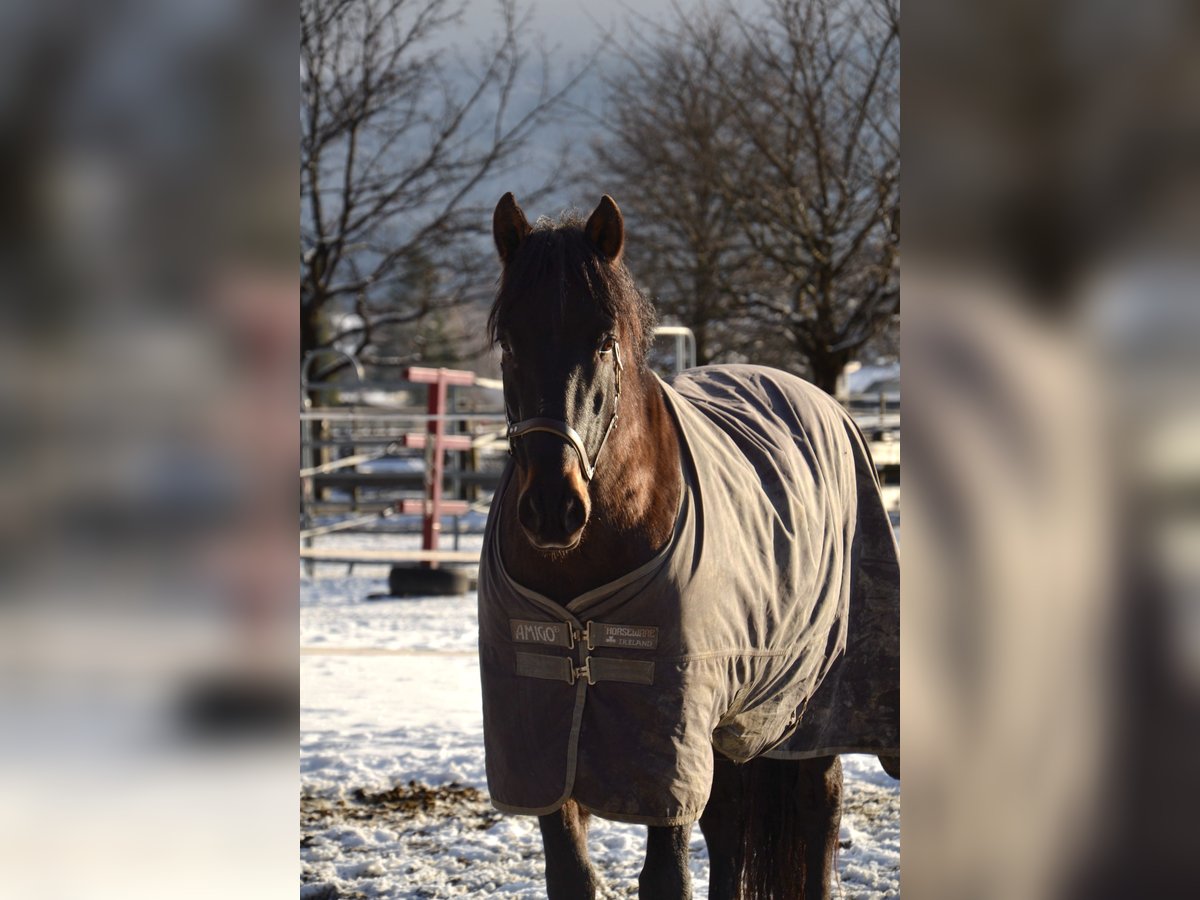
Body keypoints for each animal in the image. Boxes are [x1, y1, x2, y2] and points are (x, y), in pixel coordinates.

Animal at [472, 194, 897, 897]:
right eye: (509, 342)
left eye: (604, 341)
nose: (553, 509)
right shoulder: (545, 743)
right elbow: (572, 874)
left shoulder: (666, 740)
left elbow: (667, 877)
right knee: (728, 821)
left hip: (814, 701)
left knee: (821, 807)